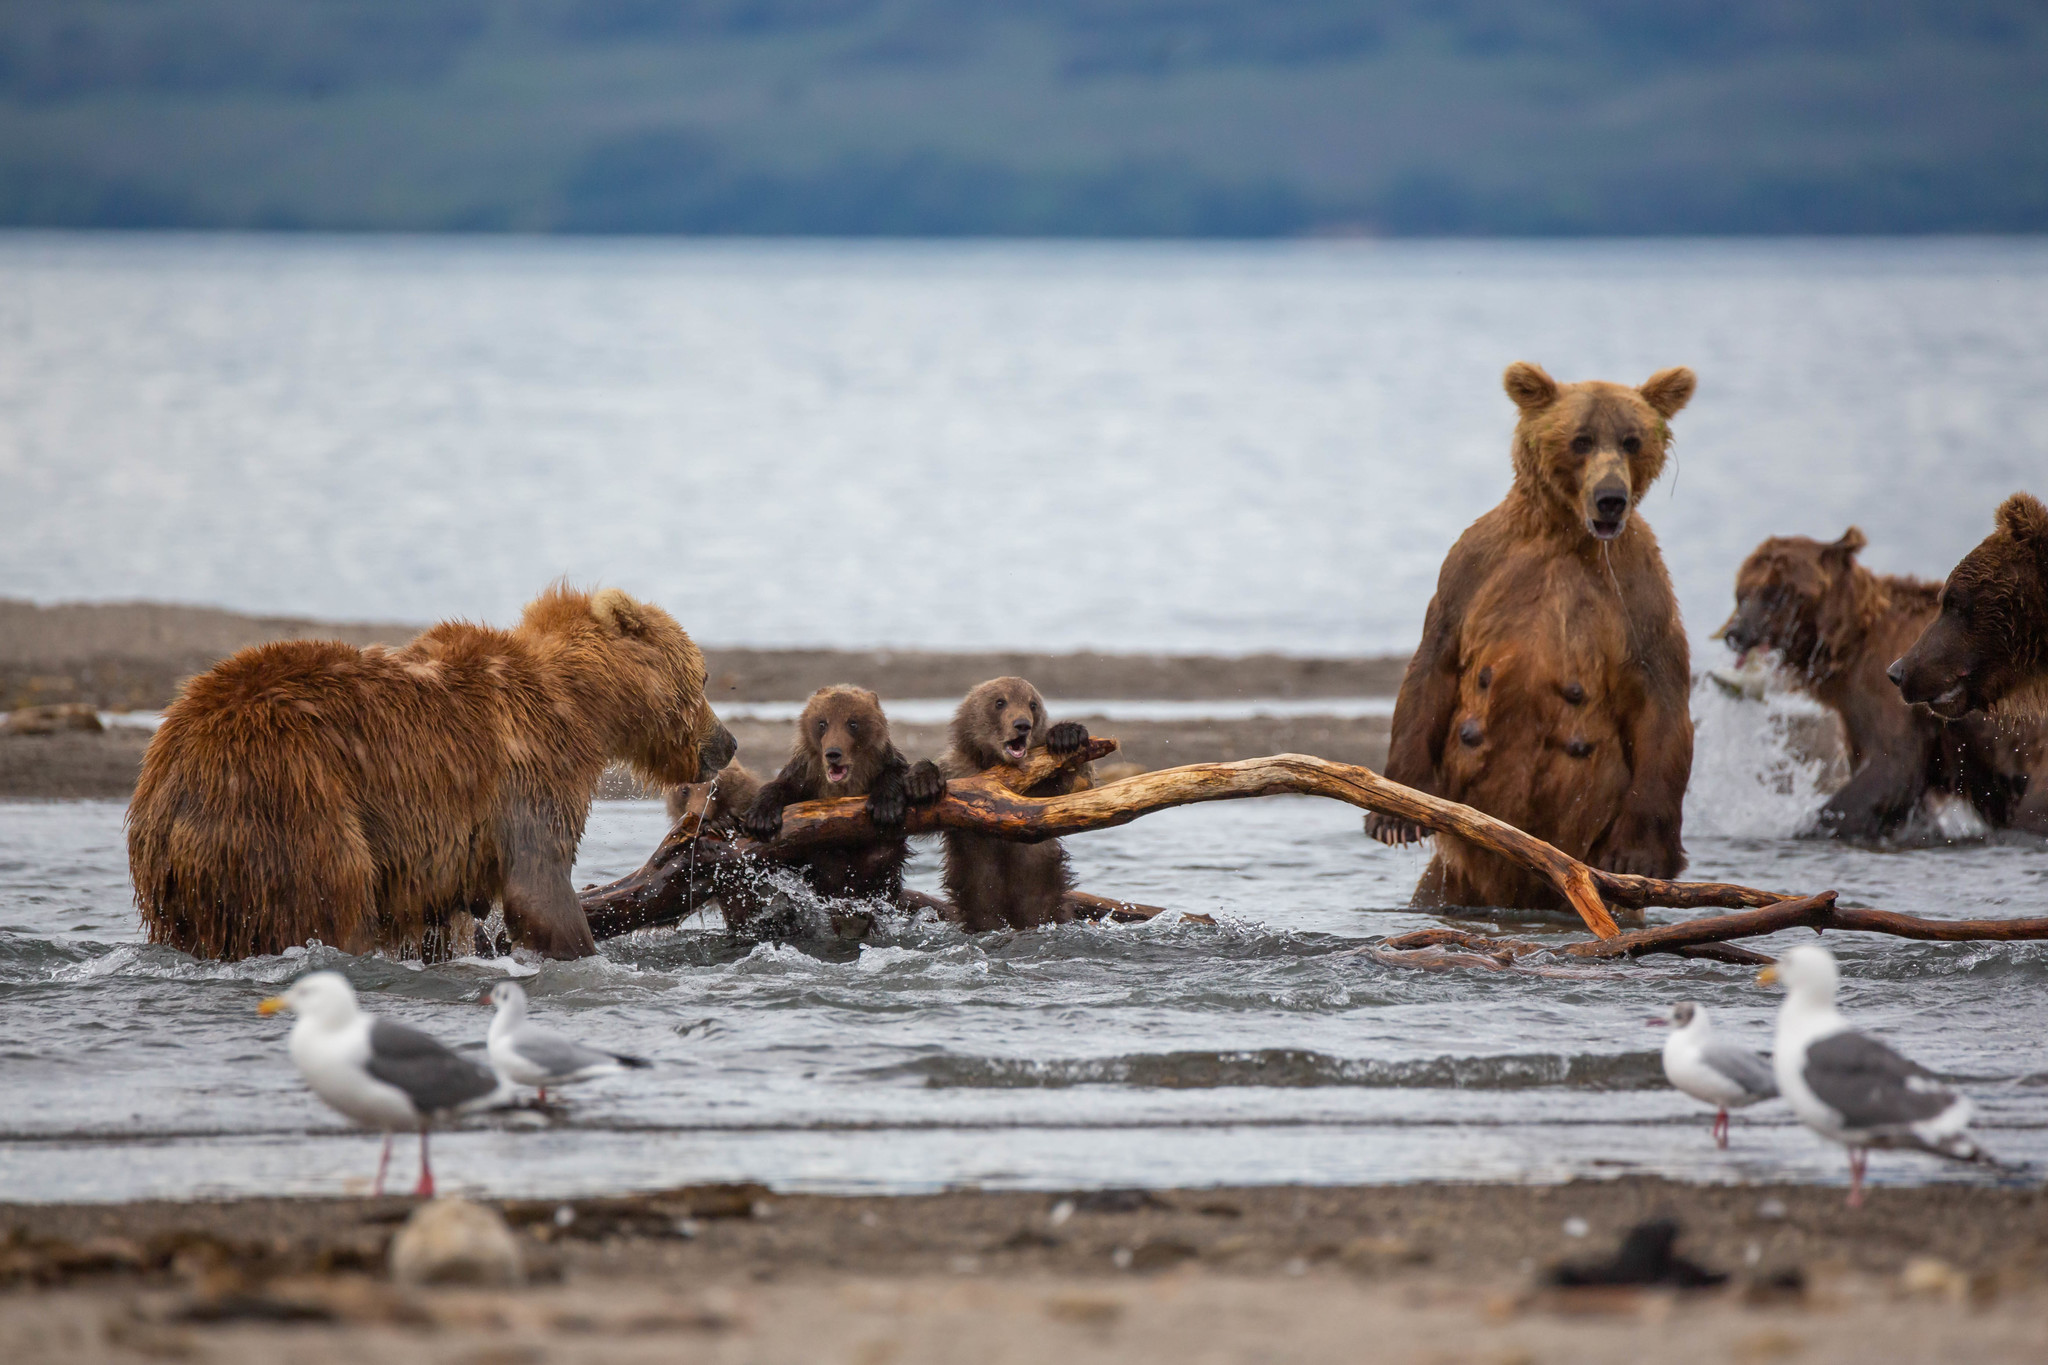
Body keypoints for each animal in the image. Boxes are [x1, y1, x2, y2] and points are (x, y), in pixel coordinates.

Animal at [942, 679, 1097, 933]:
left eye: (1032, 704)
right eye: (999, 702)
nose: (1022, 724)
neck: (996, 765)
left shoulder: (1042, 787)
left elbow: (1081, 787)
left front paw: (1067, 735)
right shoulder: (957, 771)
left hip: (1050, 897)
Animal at [1368, 362, 1703, 908]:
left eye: (1631, 440)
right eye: (1581, 439)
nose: (1611, 498)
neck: (1565, 534)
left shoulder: (1639, 594)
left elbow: (1661, 700)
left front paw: (1640, 853)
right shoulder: (1475, 568)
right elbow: (1434, 662)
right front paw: (1394, 815)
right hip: (1452, 879)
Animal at [1720, 527, 2039, 839]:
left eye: (1776, 592)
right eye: (1742, 594)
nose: (1736, 633)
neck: (1847, 647)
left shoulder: (1891, 694)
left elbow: (1892, 766)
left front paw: (1810, 824)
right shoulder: (1855, 712)